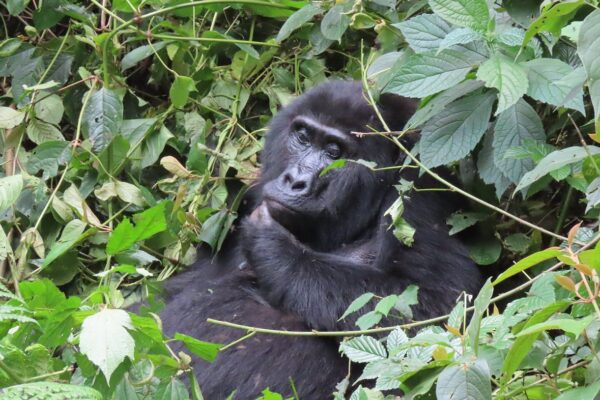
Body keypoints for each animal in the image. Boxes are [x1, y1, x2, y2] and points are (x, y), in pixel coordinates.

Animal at [159, 79, 482, 398]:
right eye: (302, 137)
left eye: (334, 152)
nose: (294, 180)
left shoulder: (419, 193)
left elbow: (434, 312)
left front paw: (276, 249)